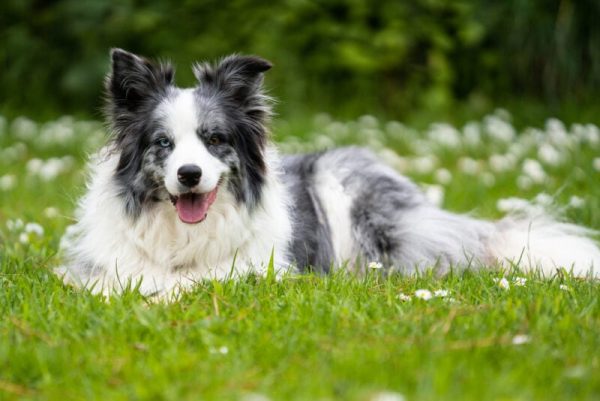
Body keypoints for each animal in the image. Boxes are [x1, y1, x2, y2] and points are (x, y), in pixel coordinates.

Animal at [58, 48, 600, 296]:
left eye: (215, 140)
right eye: (163, 144)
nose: (189, 174)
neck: (182, 238)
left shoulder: (257, 269)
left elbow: (198, 283)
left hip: (345, 191)